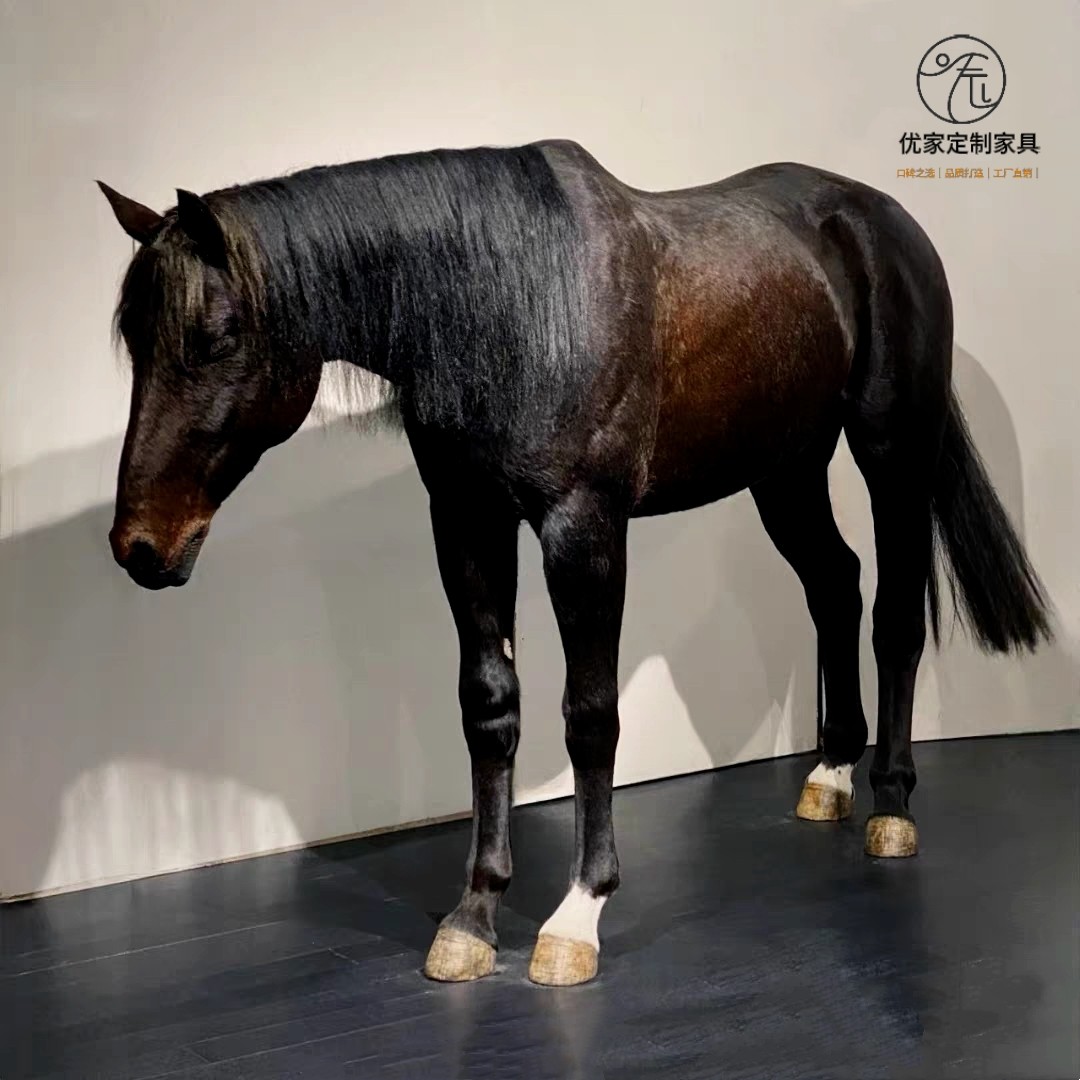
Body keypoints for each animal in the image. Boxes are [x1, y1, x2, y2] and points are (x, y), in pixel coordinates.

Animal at [98, 139, 1051, 987]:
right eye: (135, 342)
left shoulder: (583, 528)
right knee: (836, 585)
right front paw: (474, 917)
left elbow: (590, 713)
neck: (514, 304)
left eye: (215, 337)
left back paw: (891, 803)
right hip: (784, 469)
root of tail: (885, 220)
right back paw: (830, 775)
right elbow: (489, 707)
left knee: (893, 614)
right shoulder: (468, 521)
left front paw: (578, 915)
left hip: (894, 450)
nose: (140, 545)